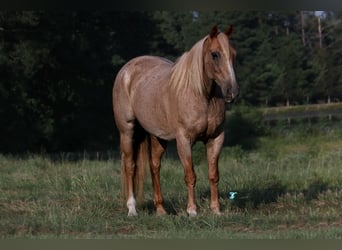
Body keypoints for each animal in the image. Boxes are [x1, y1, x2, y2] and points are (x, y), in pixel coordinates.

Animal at [112, 25, 238, 217]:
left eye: (233, 53)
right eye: (215, 54)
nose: (232, 91)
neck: (202, 96)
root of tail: (126, 70)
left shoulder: (216, 138)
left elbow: (213, 174)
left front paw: (216, 209)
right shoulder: (184, 140)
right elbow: (190, 175)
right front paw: (192, 211)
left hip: (158, 137)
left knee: (154, 166)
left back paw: (161, 209)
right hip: (127, 131)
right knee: (130, 166)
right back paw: (132, 209)